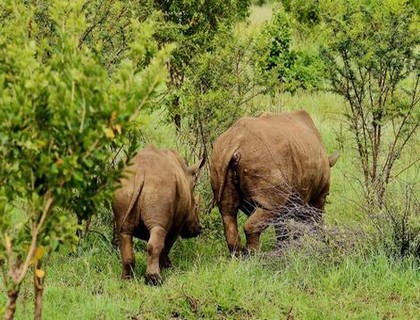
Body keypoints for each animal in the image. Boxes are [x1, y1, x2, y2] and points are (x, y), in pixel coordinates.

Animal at [110, 145, 204, 284]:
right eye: (196, 206)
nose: (199, 228)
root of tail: (140, 172)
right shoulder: (177, 224)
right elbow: (167, 244)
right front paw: (167, 267)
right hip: (161, 187)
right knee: (157, 232)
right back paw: (155, 280)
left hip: (123, 186)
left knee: (125, 233)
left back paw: (126, 279)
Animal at [210, 110, 338, 255]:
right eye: (328, 196)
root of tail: (234, 144)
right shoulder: (315, 195)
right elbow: (312, 220)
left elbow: (282, 227)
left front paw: (284, 249)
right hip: (265, 158)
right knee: (268, 209)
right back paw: (255, 256)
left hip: (219, 156)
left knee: (228, 212)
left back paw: (239, 256)